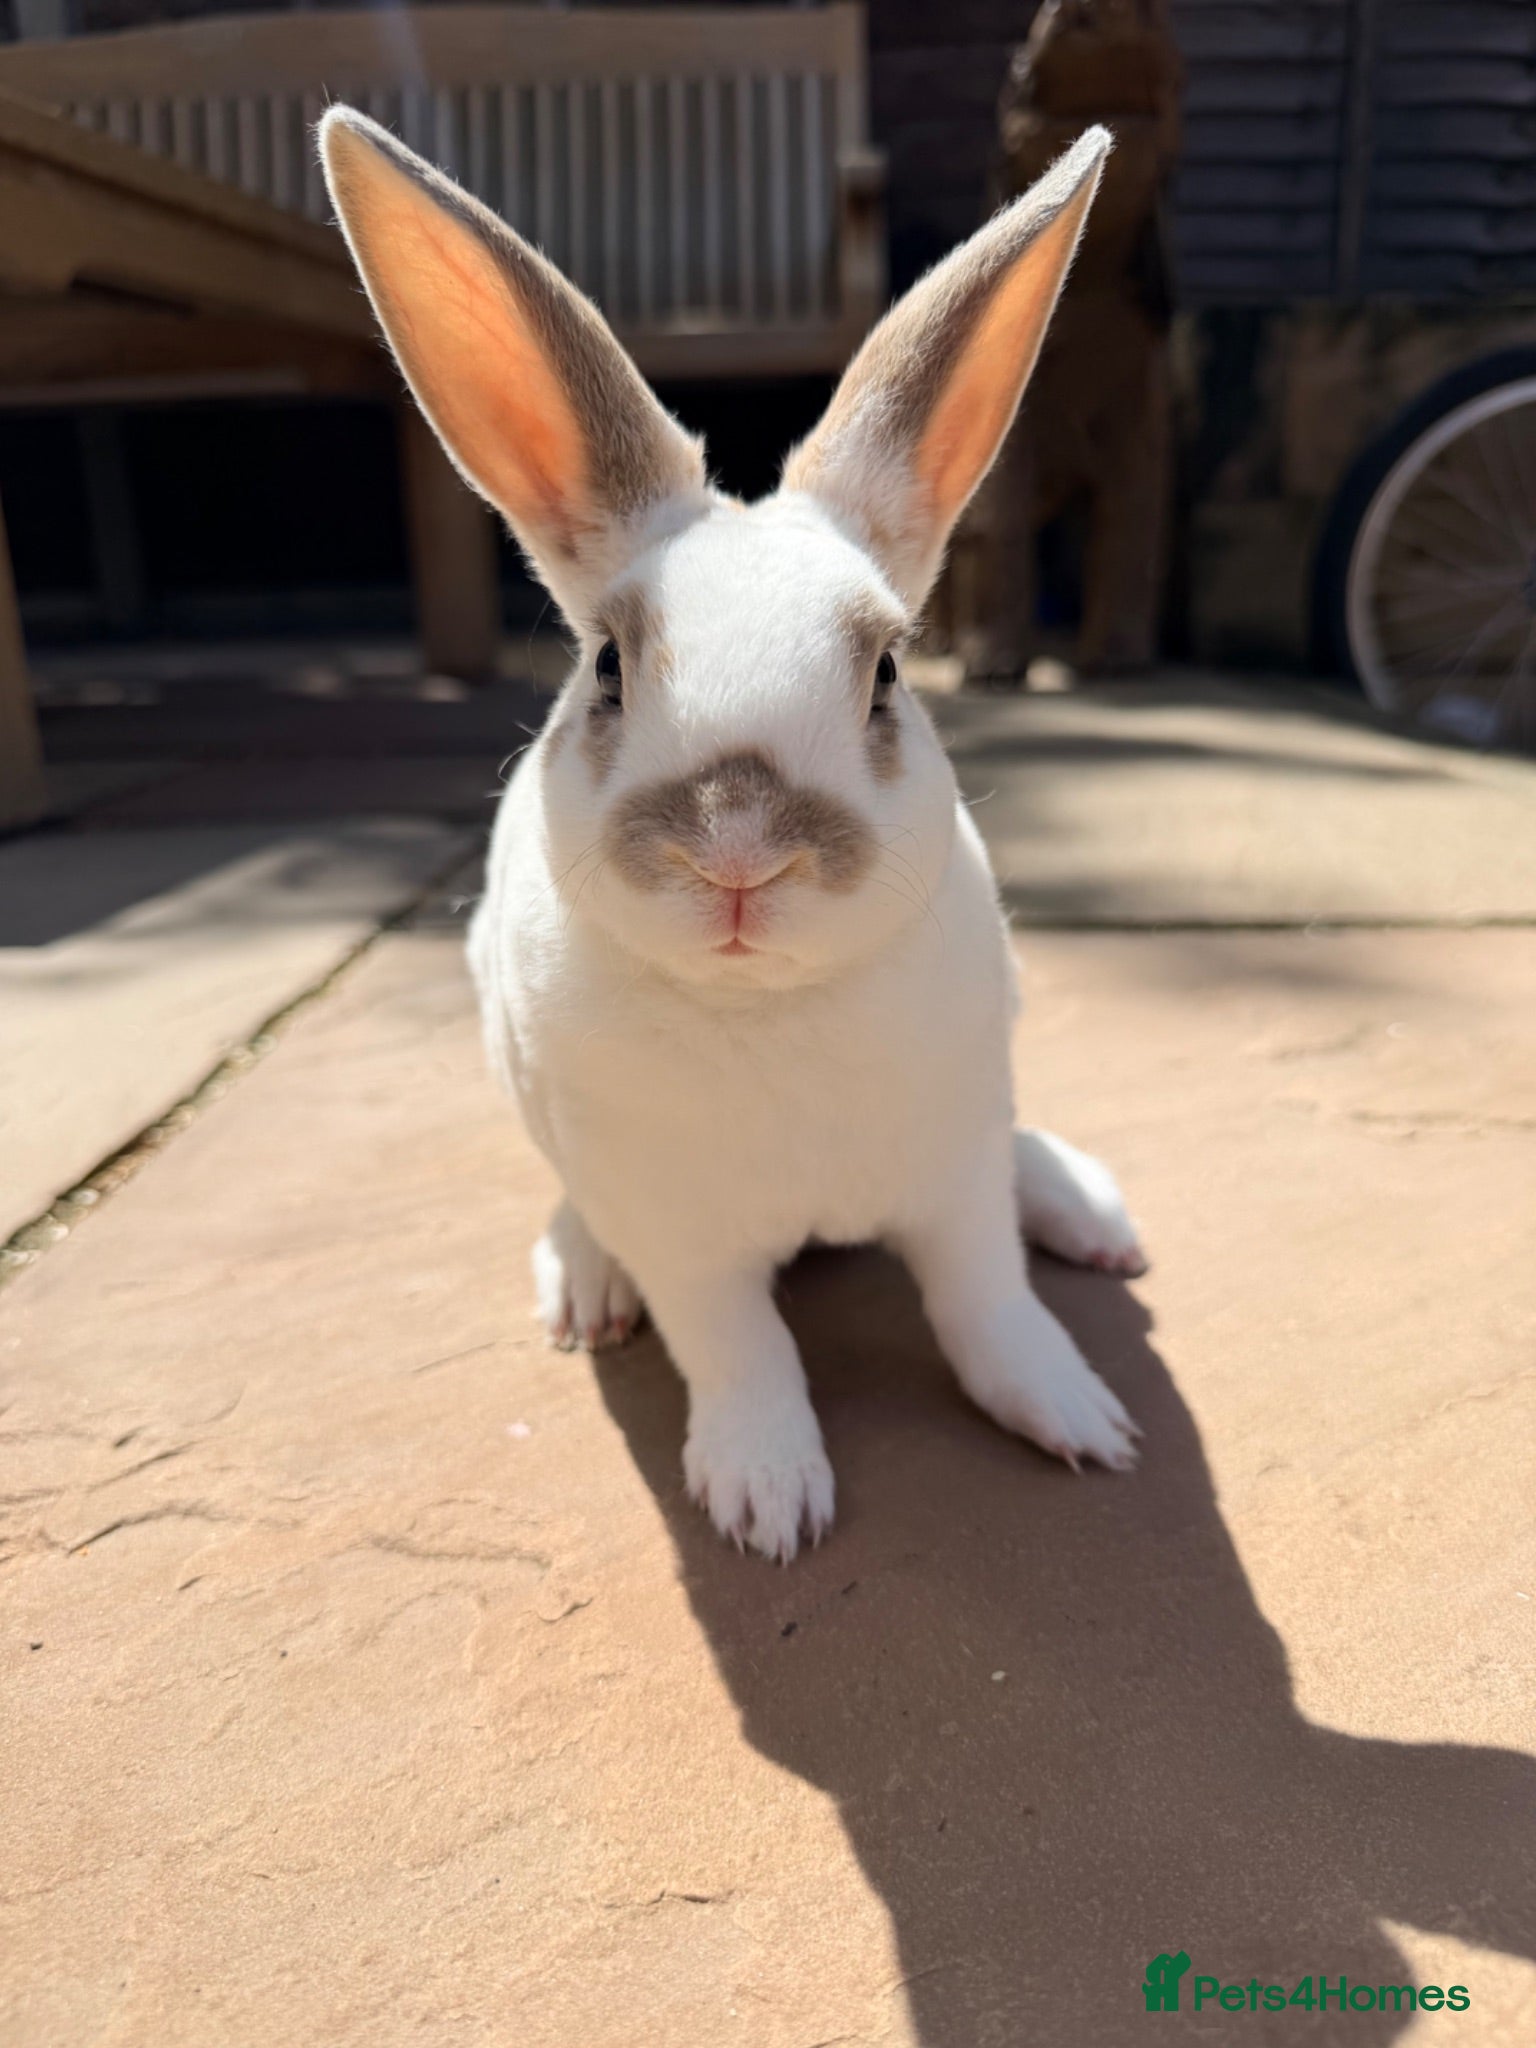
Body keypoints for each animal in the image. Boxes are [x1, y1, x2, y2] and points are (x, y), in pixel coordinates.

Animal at [320, 108, 1147, 1562]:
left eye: (886, 675)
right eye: (607, 669)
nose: (741, 851)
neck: (770, 1011)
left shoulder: (950, 1174)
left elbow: (987, 1304)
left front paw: (1080, 1418)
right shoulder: (686, 1239)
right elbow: (741, 1346)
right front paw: (767, 1499)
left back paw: (1090, 1210)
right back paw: (582, 1282)